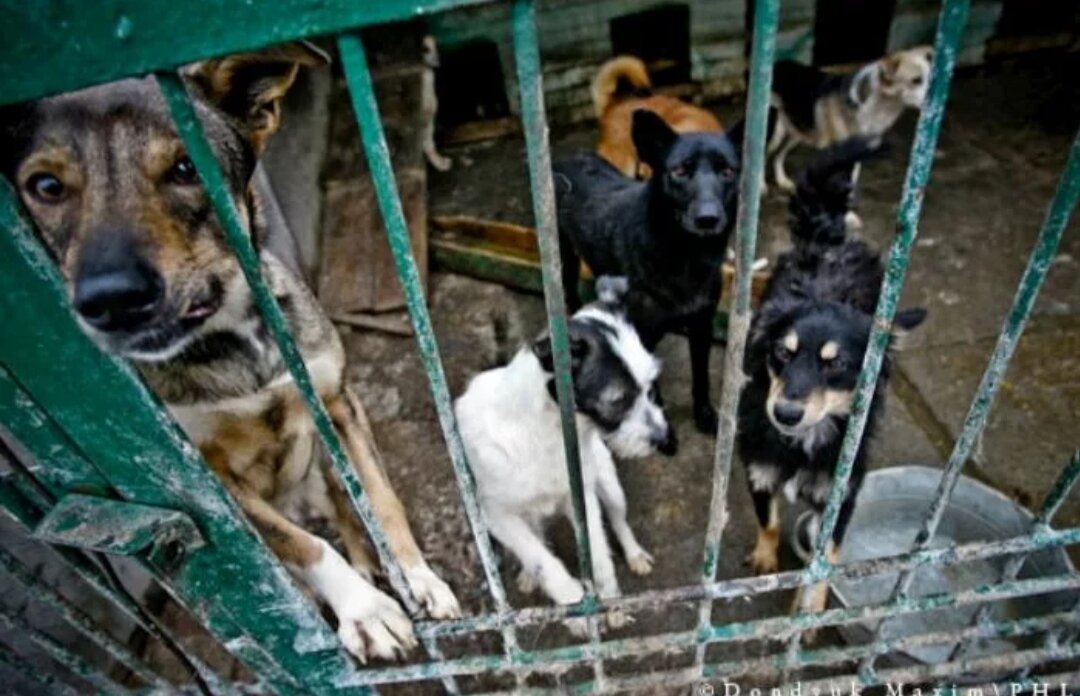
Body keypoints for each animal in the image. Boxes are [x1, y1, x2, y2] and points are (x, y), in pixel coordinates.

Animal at [0, 42, 457, 661]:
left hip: (323, 464)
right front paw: (364, 610)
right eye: (46, 187)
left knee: (346, 508)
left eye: (186, 169)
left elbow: (383, 501)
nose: (109, 299)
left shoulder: (338, 403)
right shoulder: (213, 486)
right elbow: (303, 545)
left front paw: (418, 577)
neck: (236, 341)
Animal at [453, 276, 669, 631]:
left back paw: (634, 554)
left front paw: (610, 603)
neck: (546, 432)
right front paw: (574, 605)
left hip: (610, 486)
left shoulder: (583, 498)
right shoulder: (495, 515)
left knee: (619, 521)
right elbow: (542, 560)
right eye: (618, 400)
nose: (664, 439)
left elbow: (600, 558)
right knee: (537, 537)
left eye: (651, 388)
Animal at [557, 110, 743, 443]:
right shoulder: (643, 335)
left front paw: (704, 416)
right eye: (680, 171)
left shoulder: (702, 326)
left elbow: (702, 378)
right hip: (566, 254)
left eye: (727, 171)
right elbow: (652, 389)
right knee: (568, 287)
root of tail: (569, 156)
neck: (685, 258)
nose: (708, 218)